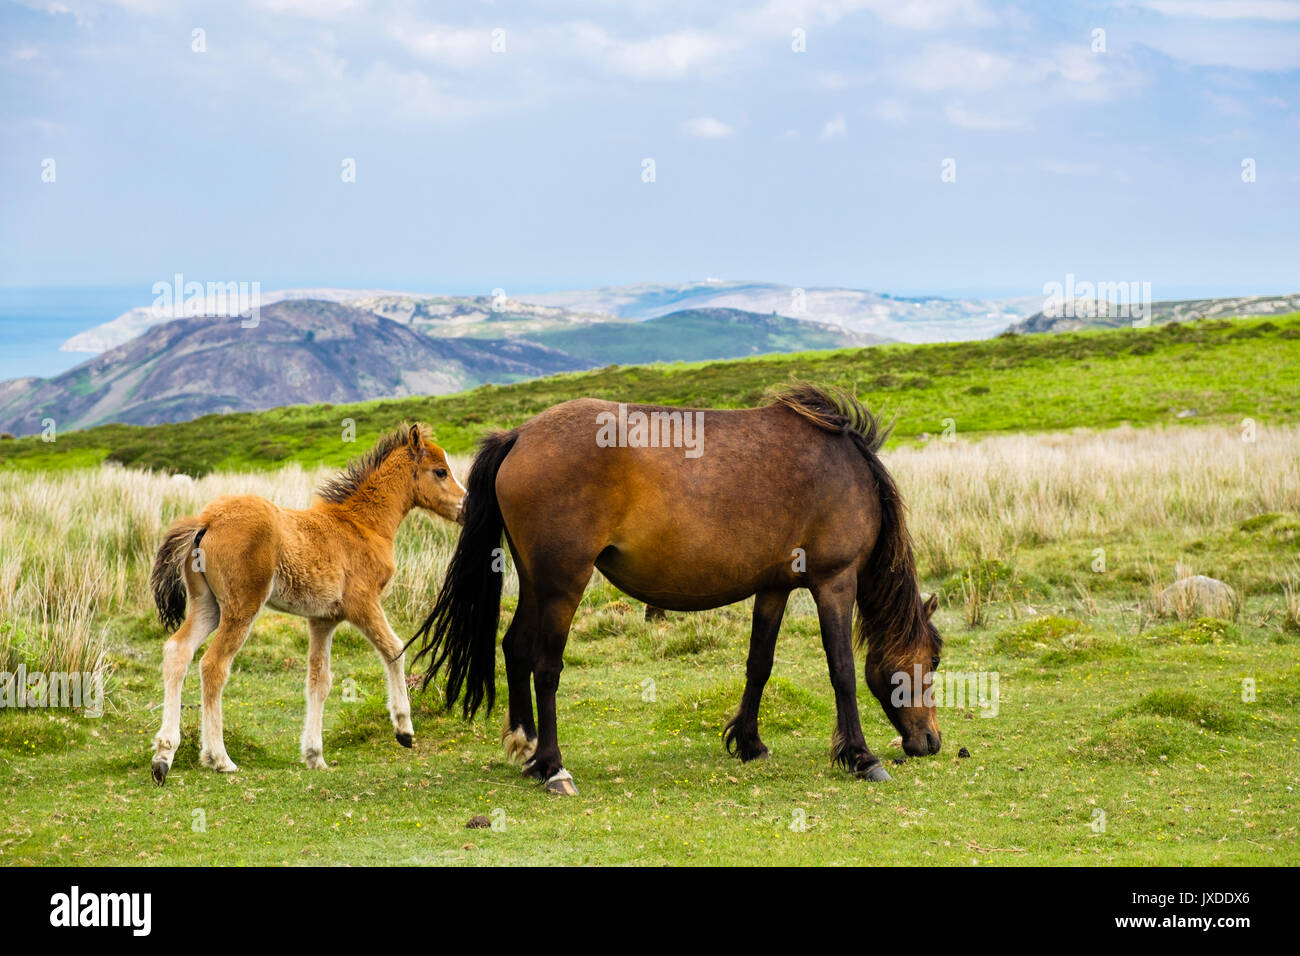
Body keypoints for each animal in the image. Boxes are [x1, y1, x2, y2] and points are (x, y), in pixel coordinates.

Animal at [149, 426, 465, 785]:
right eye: (440, 471)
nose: (466, 506)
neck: (363, 525)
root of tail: (207, 520)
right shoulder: (363, 603)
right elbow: (395, 648)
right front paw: (404, 729)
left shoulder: (322, 619)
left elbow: (319, 680)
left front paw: (314, 755)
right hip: (242, 606)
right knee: (213, 665)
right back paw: (219, 758)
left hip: (208, 606)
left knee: (178, 651)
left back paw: (163, 756)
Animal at [416, 385, 946, 796]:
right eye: (935, 661)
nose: (931, 742)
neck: (848, 472)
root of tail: (520, 435)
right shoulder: (835, 582)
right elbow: (842, 671)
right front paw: (861, 757)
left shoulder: (773, 587)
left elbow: (759, 664)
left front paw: (748, 742)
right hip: (562, 584)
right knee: (545, 666)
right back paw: (552, 767)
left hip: (535, 581)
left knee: (516, 648)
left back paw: (525, 747)